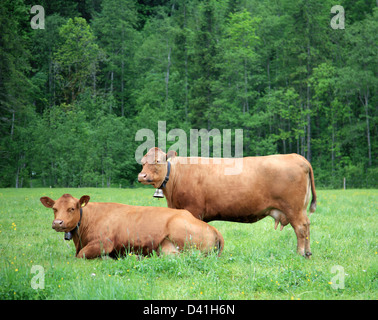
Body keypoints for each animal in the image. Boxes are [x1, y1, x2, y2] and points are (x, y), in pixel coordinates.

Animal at [138, 148, 316, 258]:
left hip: (294, 209)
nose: (142, 176)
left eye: (158, 161)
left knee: (300, 228)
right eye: (142, 162)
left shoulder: (193, 210)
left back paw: (300, 253)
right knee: (307, 226)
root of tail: (296, 156)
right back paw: (308, 252)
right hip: (300, 209)